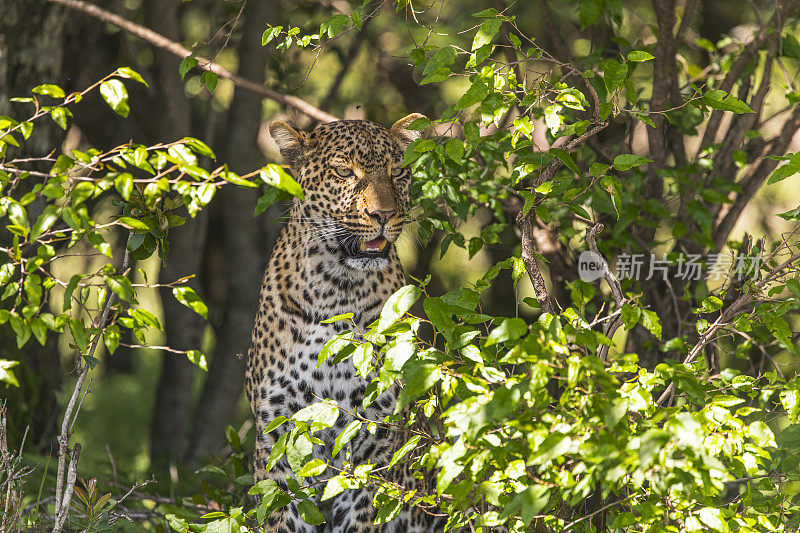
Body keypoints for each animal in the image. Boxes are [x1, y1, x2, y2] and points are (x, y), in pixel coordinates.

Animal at [247, 115, 440, 532]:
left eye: (397, 172)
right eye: (343, 173)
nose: (384, 215)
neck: (334, 288)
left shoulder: (376, 435)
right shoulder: (279, 437)